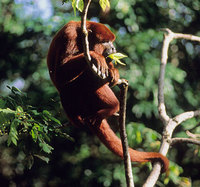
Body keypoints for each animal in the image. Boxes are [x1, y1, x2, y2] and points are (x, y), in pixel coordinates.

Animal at [47, 20, 169, 172]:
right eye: (105, 42)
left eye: (111, 41)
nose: (113, 48)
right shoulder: (69, 35)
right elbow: (60, 72)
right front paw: (95, 56)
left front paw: (113, 71)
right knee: (85, 78)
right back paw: (112, 106)